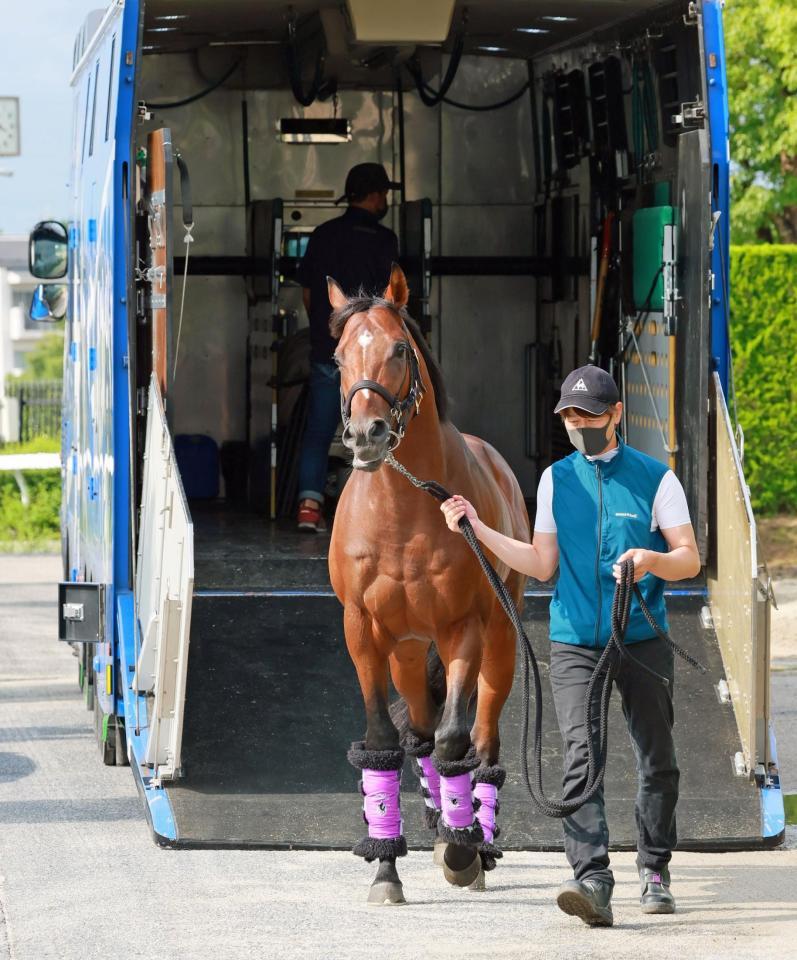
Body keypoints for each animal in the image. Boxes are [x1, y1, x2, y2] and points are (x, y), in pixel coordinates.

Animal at [324, 260, 528, 900]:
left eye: (397, 348)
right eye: (339, 356)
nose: (366, 434)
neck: (402, 513)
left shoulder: (465, 627)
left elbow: (455, 737)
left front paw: (462, 852)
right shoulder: (363, 631)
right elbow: (384, 745)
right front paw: (385, 867)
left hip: (500, 642)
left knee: (480, 740)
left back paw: (472, 840)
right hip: (409, 653)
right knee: (418, 732)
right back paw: (442, 824)